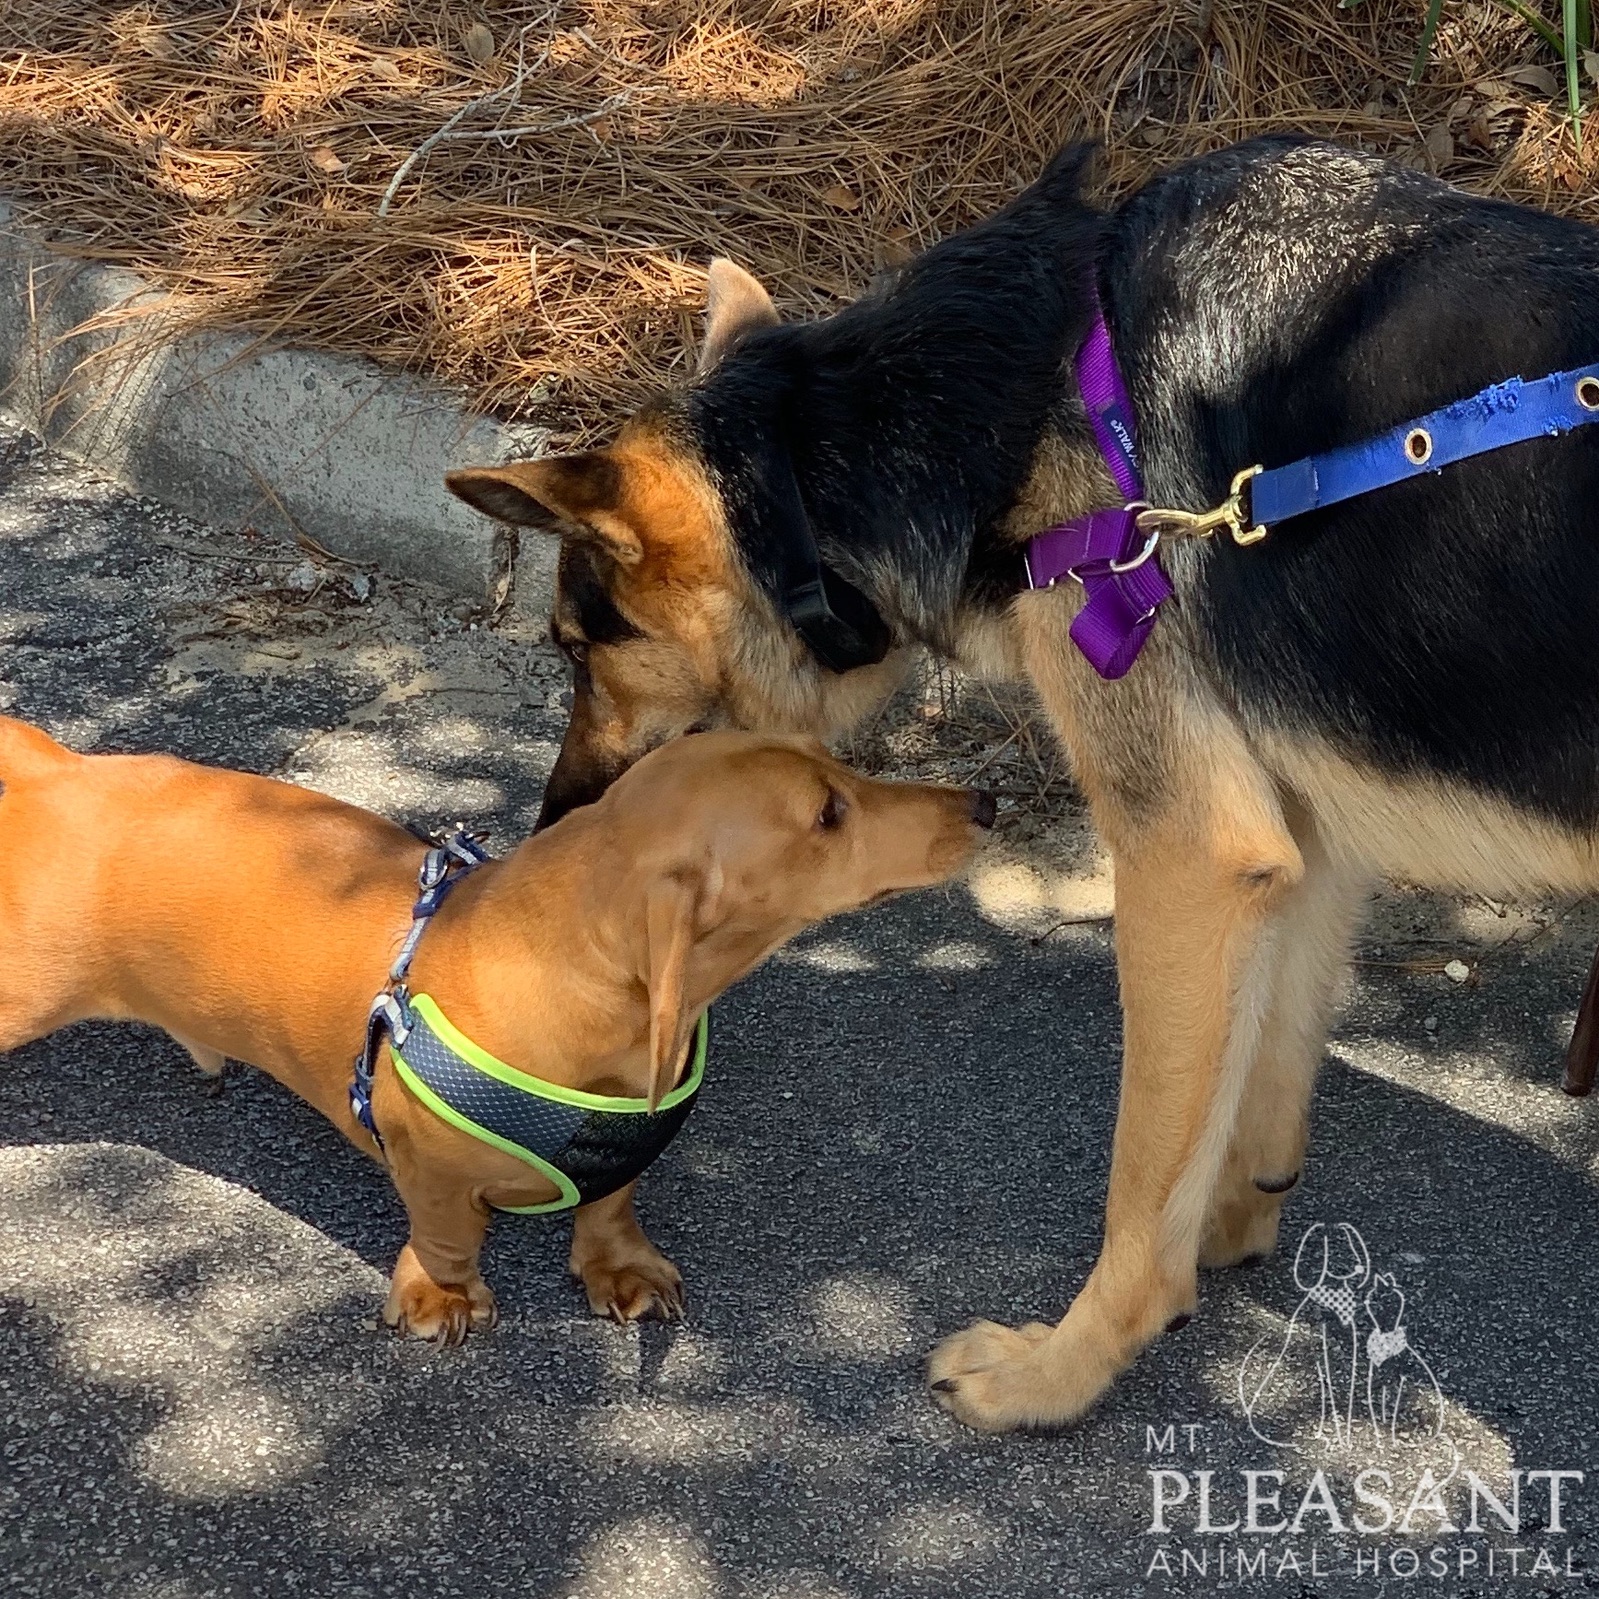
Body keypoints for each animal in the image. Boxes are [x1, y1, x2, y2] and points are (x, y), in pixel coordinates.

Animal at [447, 137, 1599, 1432]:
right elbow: (1254, 1082)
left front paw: (1062, 1370)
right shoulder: (1292, 844)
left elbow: (1141, 1190)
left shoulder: (1184, 861)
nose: (548, 824)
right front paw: (1238, 1220)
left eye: (573, 649)